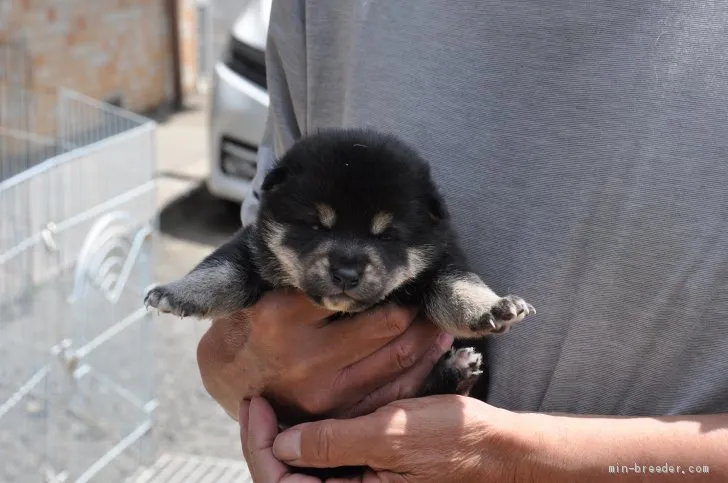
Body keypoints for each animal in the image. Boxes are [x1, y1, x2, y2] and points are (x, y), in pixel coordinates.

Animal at [144, 130, 536, 404]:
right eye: (317, 226)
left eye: (387, 236)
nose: (346, 274)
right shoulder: (251, 249)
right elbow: (221, 270)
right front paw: (178, 292)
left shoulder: (440, 263)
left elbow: (458, 286)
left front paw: (492, 307)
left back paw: (455, 372)